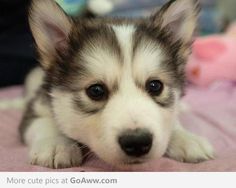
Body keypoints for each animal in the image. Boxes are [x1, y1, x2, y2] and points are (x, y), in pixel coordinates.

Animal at [19, 0, 214, 168]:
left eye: (155, 86)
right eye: (96, 91)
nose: (137, 142)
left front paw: (187, 138)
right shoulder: (38, 104)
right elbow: (43, 122)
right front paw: (57, 144)